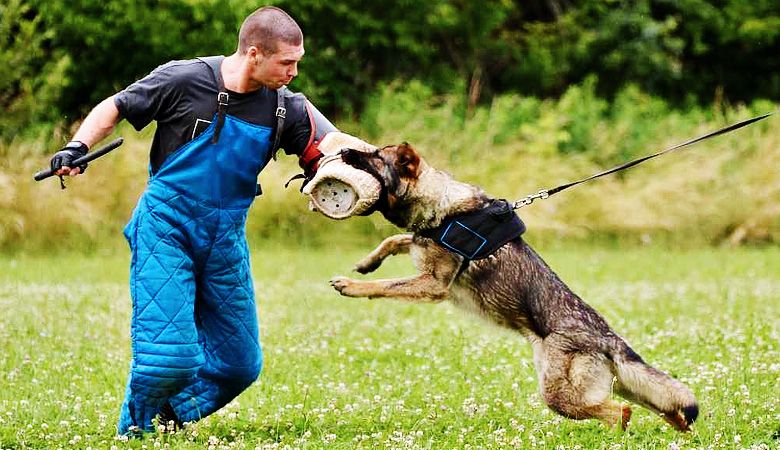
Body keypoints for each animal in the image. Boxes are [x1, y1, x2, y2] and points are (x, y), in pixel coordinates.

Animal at [330, 142, 700, 430]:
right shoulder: (421, 249)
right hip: (623, 386)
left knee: (620, 413)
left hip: (560, 395)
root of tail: (610, 339)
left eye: (376, 156)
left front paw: (352, 285)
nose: (342, 151)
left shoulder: (433, 285)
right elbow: (394, 240)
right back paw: (679, 427)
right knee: (660, 404)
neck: (443, 206)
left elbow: (384, 284)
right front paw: (367, 263)